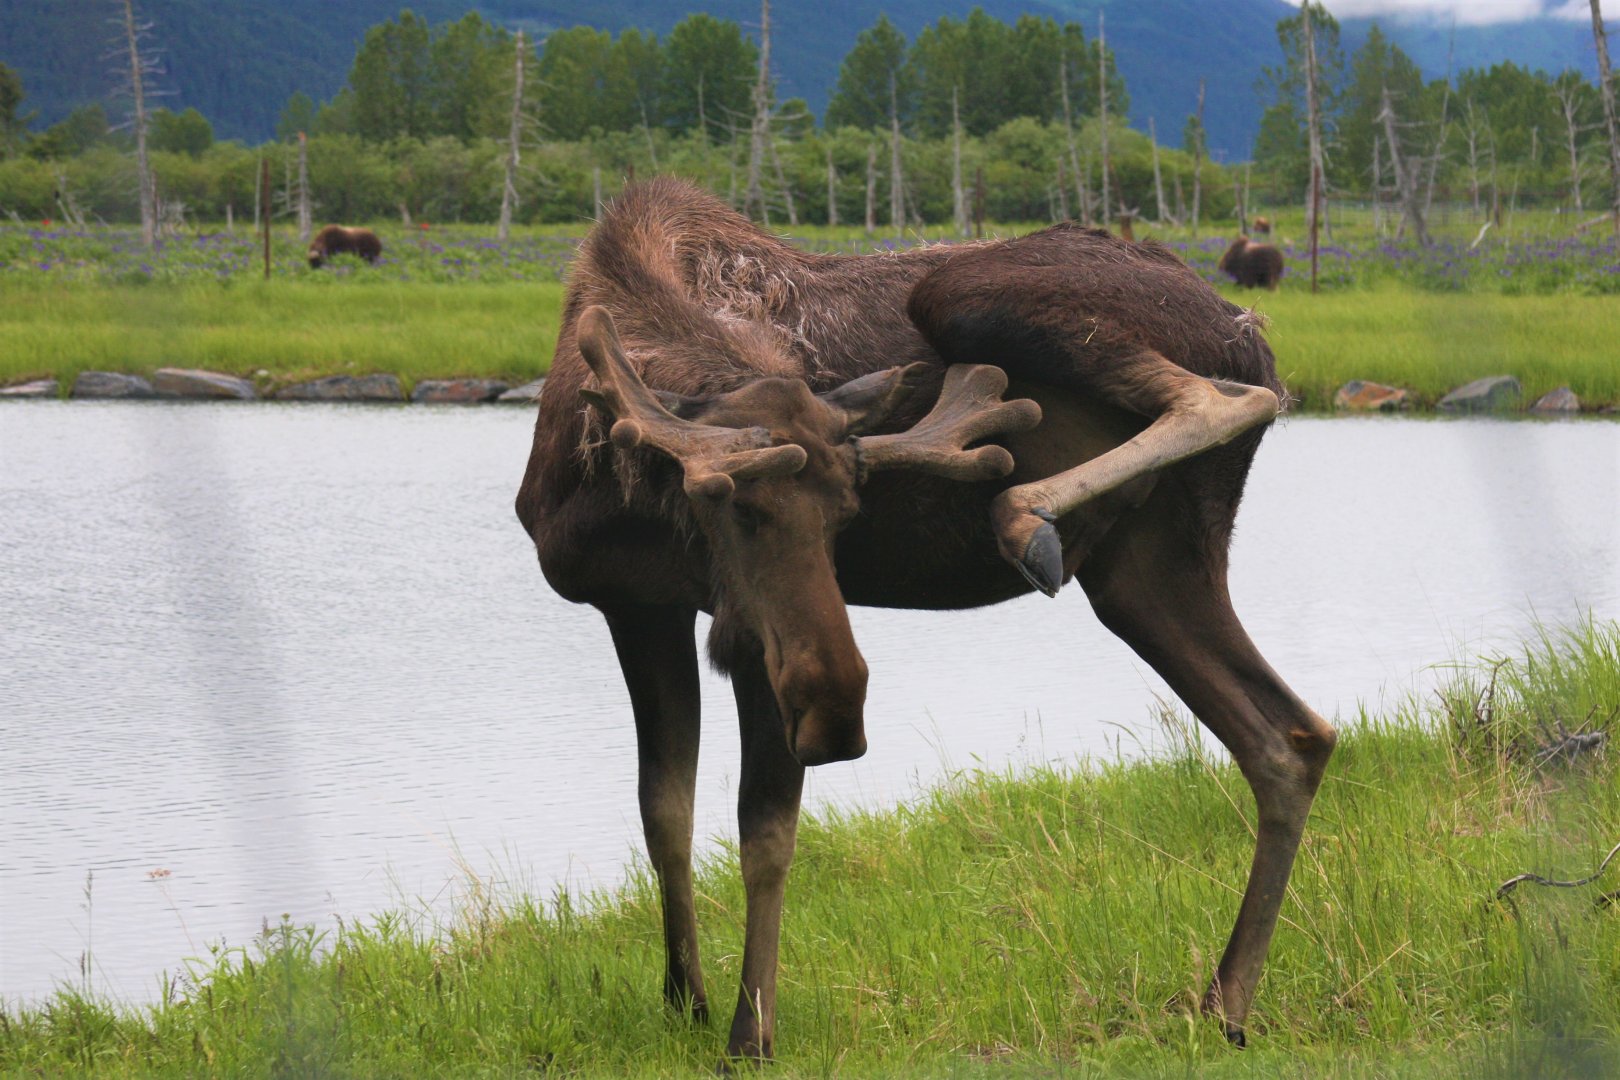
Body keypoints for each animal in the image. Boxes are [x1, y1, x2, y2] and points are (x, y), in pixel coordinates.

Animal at [515, 178, 1336, 1062]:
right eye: (720, 502)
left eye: (849, 514)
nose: (838, 712)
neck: (611, 474)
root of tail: (1245, 330)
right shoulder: (636, 605)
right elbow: (663, 810)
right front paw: (682, 999)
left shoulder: (751, 642)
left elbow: (764, 828)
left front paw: (750, 1030)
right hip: (1149, 570)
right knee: (1290, 737)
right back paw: (1224, 1002)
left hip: (967, 296)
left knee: (1224, 397)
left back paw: (1026, 513)